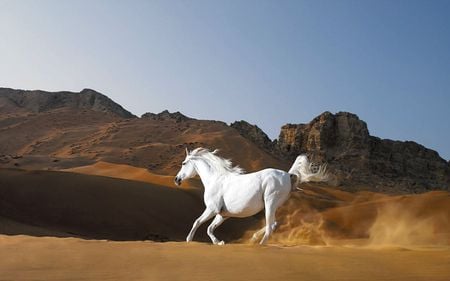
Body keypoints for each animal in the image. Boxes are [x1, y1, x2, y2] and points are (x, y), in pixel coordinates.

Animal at [174, 147, 328, 243]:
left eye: (184, 163)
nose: (176, 179)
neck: (215, 179)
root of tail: (287, 175)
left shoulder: (212, 209)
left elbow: (197, 222)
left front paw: (188, 240)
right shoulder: (223, 214)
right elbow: (210, 228)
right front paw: (219, 242)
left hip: (270, 202)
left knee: (270, 226)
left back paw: (259, 244)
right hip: (271, 206)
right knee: (273, 224)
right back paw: (254, 238)